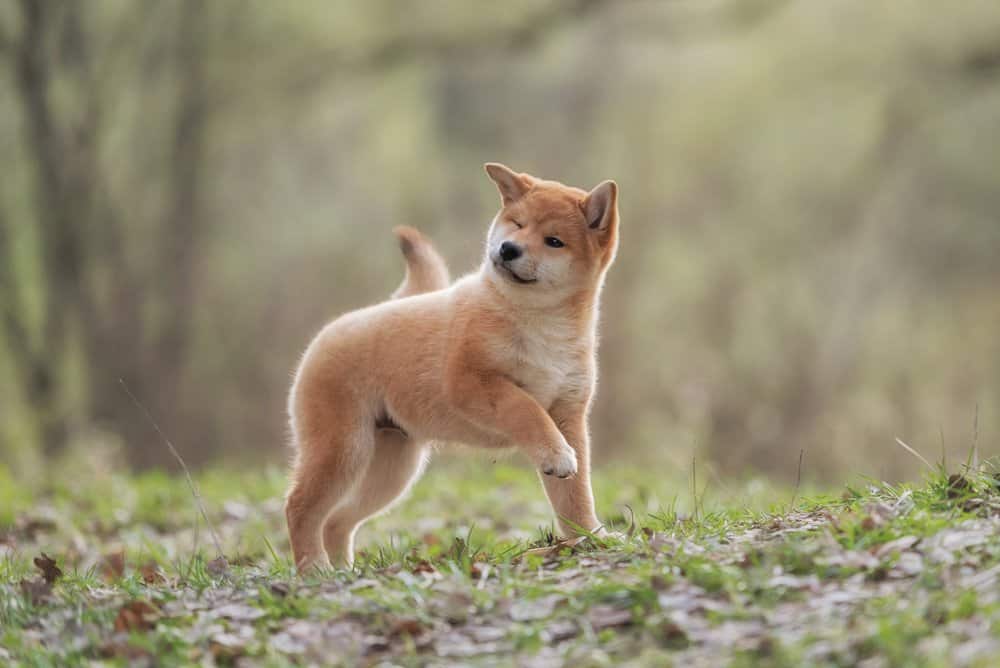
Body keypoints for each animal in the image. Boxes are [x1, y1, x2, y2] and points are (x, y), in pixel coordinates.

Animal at [286, 162, 620, 568]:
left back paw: (343, 570)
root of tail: (331, 330)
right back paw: (314, 568)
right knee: (299, 507)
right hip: (343, 449)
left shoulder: (568, 414)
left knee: (337, 520)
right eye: (517, 224)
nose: (508, 248)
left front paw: (591, 537)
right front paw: (555, 455)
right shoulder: (470, 382)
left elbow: (575, 495)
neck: (540, 322)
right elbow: (524, 409)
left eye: (554, 241)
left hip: (392, 469)